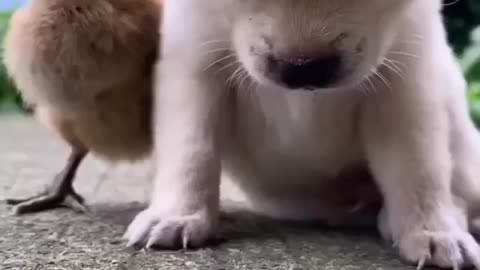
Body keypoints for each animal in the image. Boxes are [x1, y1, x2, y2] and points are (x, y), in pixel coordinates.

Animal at [124, 0, 480, 268]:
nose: (303, 69)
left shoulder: (407, 80)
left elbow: (418, 167)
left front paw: (432, 231)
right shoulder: (193, 64)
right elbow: (192, 150)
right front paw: (178, 215)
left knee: (461, 194)